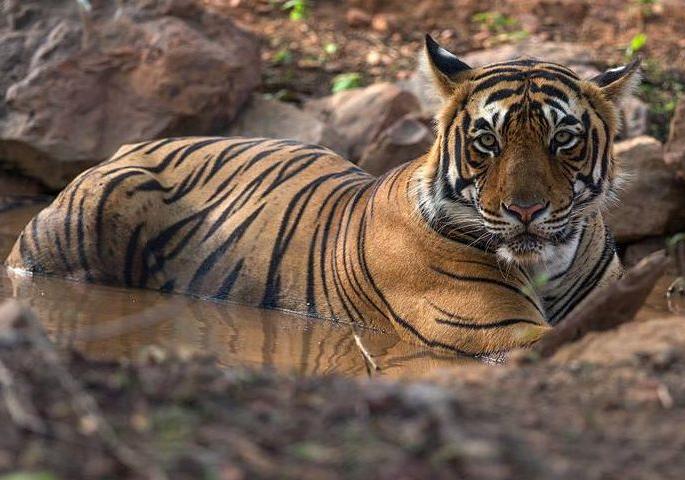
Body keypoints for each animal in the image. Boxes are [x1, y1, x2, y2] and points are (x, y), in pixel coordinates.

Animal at [4, 35, 640, 355]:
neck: (547, 263)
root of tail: (125, 146)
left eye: (563, 140)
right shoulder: (494, 330)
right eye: (488, 140)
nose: (525, 211)